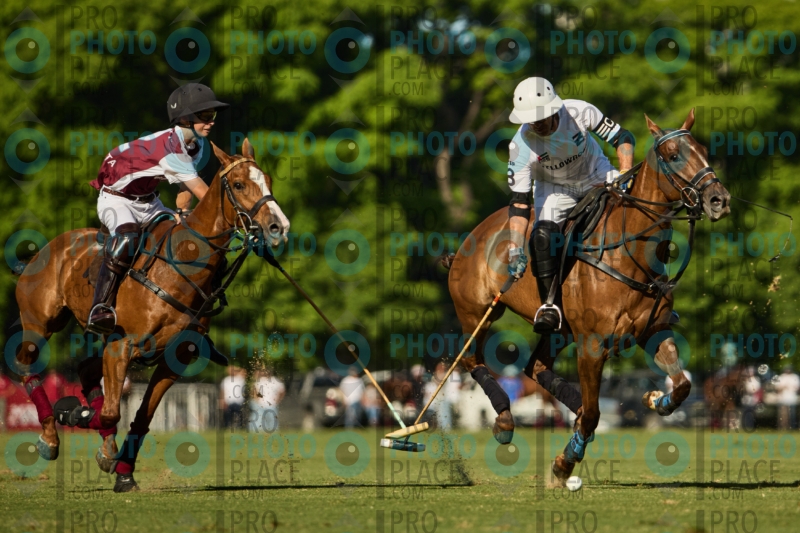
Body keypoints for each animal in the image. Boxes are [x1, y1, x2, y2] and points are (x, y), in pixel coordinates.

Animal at [10, 139, 288, 491]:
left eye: (268, 180)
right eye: (238, 184)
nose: (278, 226)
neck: (183, 265)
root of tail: (42, 252)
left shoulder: (174, 358)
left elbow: (141, 418)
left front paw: (123, 472)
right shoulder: (122, 346)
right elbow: (112, 413)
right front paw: (73, 415)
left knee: (86, 369)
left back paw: (104, 447)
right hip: (40, 322)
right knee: (25, 365)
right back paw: (50, 437)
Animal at [443, 109, 731, 485]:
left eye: (703, 150)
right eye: (672, 155)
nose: (719, 200)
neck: (630, 251)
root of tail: (472, 236)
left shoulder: (654, 330)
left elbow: (682, 384)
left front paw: (656, 400)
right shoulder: (592, 345)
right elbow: (595, 413)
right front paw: (564, 464)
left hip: (559, 331)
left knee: (535, 367)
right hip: (477, 312)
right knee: (471, 359)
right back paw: (505, 420)